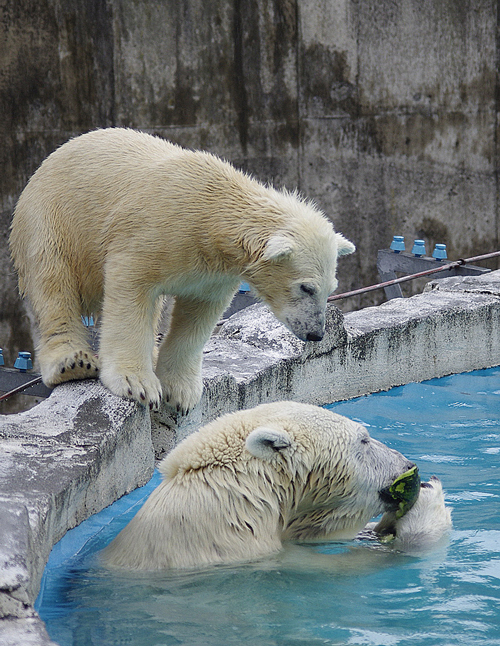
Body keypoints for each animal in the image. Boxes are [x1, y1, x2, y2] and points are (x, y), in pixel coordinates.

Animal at [9, 129, 354, 412]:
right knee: (53, 283)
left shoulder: (213, 271)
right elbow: (131, 290)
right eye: (306, 287)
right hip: (51, 219)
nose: (315, 332)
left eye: (331, 289)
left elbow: (198, 315)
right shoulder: (152, 233)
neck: (215, 216)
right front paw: (137, 383)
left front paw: (180, 392)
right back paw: (73, 362)